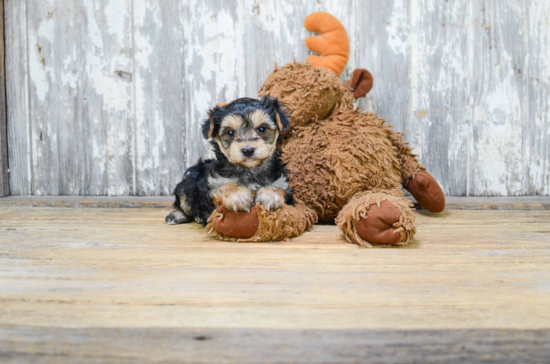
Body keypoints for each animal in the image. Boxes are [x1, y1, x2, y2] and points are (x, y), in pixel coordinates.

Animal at [167, 97, 296, 228]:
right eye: (230, 132)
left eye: (261, 129)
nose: (248, 150)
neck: (249, 170)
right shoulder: (214, 182)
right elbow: (224, 185)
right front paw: (238, 195)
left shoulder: (282, 182)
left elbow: (278, 187)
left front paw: (270, 195)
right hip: (188, 183)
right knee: (182, 202)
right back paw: (177, 215)